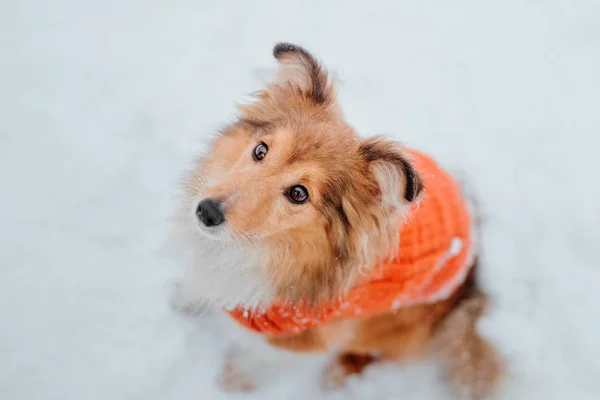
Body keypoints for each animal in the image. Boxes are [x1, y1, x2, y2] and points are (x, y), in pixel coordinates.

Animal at [172, 43, 502, 400]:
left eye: (299, 194)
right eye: (260, 150)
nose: (206, 211)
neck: (266, 250)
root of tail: (471, 282)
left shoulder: (297, 338)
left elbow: (258, 360)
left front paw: (232, 382)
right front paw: (186, 298)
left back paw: (338, 375)